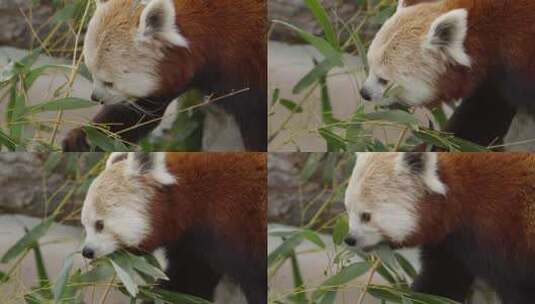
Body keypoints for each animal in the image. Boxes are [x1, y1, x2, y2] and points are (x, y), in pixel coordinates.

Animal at [61, 0, 266, 151]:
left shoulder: (243, 63)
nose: (95, 97)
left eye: (109, 82)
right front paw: (83, 138)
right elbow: (137, 114)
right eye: (91, 73)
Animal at [81, 153, 268, 302]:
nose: (87, 251)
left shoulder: (234, 225)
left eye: (99, 225)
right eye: (85, 225)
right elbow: (186, 284)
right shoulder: (192, 245)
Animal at [346, 153, 535, 302]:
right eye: (348, 210)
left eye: (366, 216)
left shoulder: (503, 240)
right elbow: (440, 283)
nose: (349, 239)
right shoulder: (450, 245)